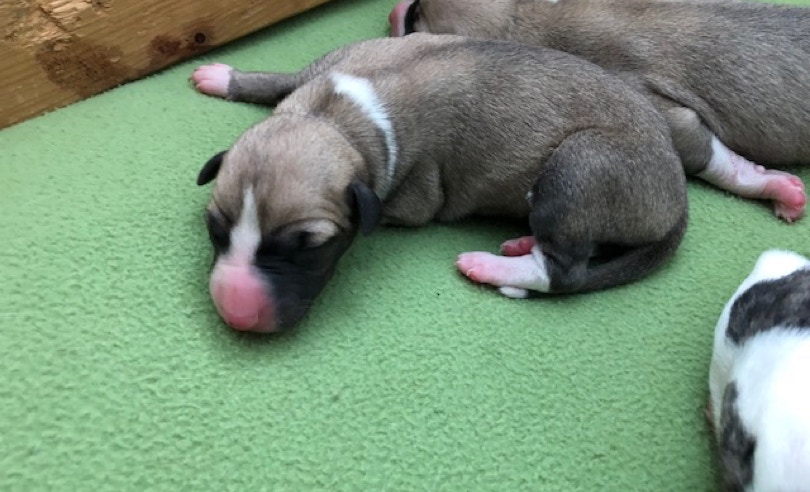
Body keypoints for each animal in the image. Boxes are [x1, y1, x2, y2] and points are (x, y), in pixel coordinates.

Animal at [190, 34, 687, 332]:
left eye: (310, 246)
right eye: (214, 228)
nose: (237, 313)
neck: (336, 114)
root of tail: (680, 198)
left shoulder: (412, 199)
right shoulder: (320, 71)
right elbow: (278, 79)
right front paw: (225, 77)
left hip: (581, 163)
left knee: (565, 269)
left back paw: (493, 265)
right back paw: (521, 243)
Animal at [389, 0, 810, 222]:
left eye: (415, 20)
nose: (396, 9)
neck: (534, 14)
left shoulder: (645, 95)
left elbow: (700, 146)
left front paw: (764, 182)